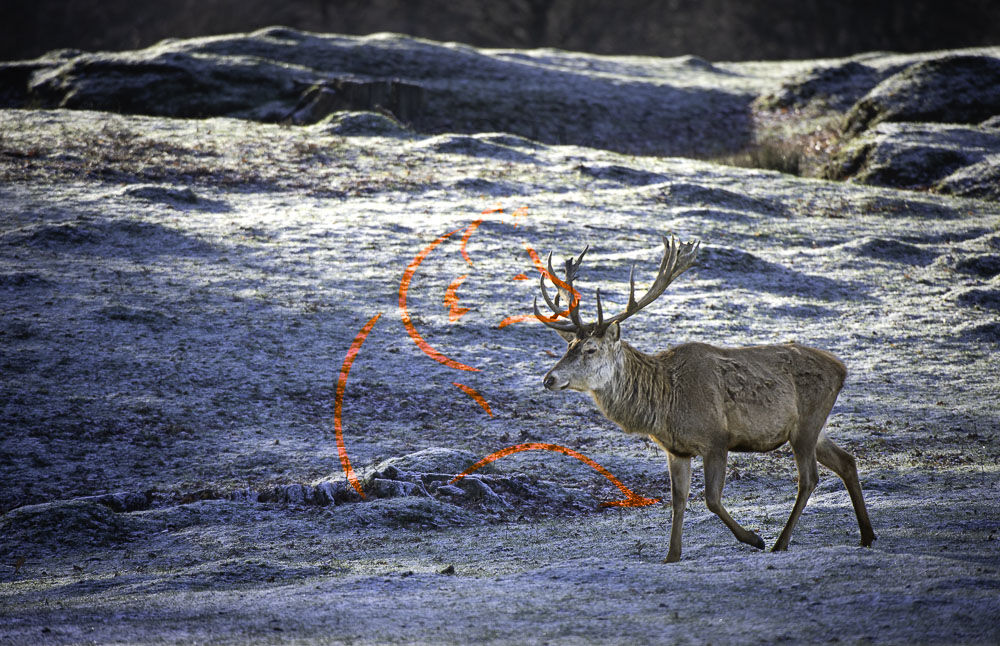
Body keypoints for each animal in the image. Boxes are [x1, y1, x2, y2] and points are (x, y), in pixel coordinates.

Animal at [533, 236, 875, 562]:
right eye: (568, 346)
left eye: (590, 349)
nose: (549, 378)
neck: (665, 402)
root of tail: (841, 369)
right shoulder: (676, 450)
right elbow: (678, 500)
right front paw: (671, 555)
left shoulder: (716, 438)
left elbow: (711, 499)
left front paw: (754, 538)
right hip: (814, 428)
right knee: (846, 461)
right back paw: (867, 535)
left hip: (806, 424)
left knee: (809, 478)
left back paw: (780, 542)